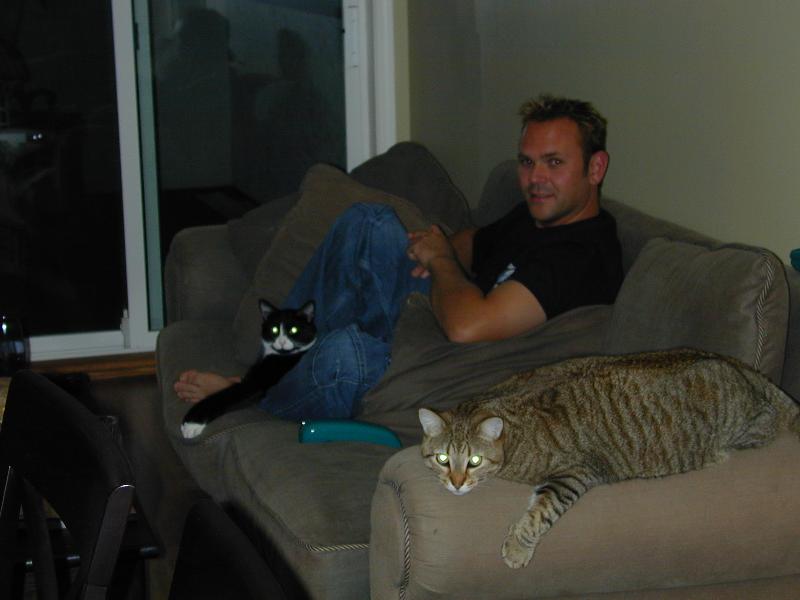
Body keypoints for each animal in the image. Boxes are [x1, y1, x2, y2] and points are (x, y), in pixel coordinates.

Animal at [181, 299, 316, 439]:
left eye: (294, 329)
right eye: (274, 329)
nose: (282, 342)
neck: (283, 355)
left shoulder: (254, 384)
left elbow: (223, 396)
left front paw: (191, 423)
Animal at [418, 348, 800, 569]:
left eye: (474, 461)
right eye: (442, 458)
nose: (455, 484)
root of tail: (746, 370)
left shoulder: (575, 473)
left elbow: (541, 513)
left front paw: (517, 548)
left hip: (748, 426)